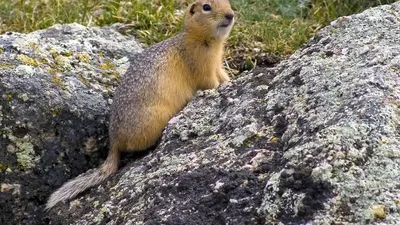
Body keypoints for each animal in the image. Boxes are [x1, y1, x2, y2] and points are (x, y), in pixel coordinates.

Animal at [46, 0, 234, 209]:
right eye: (206, 7)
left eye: (228, 3)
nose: (231, 15)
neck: (202, 39)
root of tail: (114, 141)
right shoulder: (200, 64)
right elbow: (209, 82)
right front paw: (220, 87)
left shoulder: (217, 64)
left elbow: (223, 75)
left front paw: (231, 81)